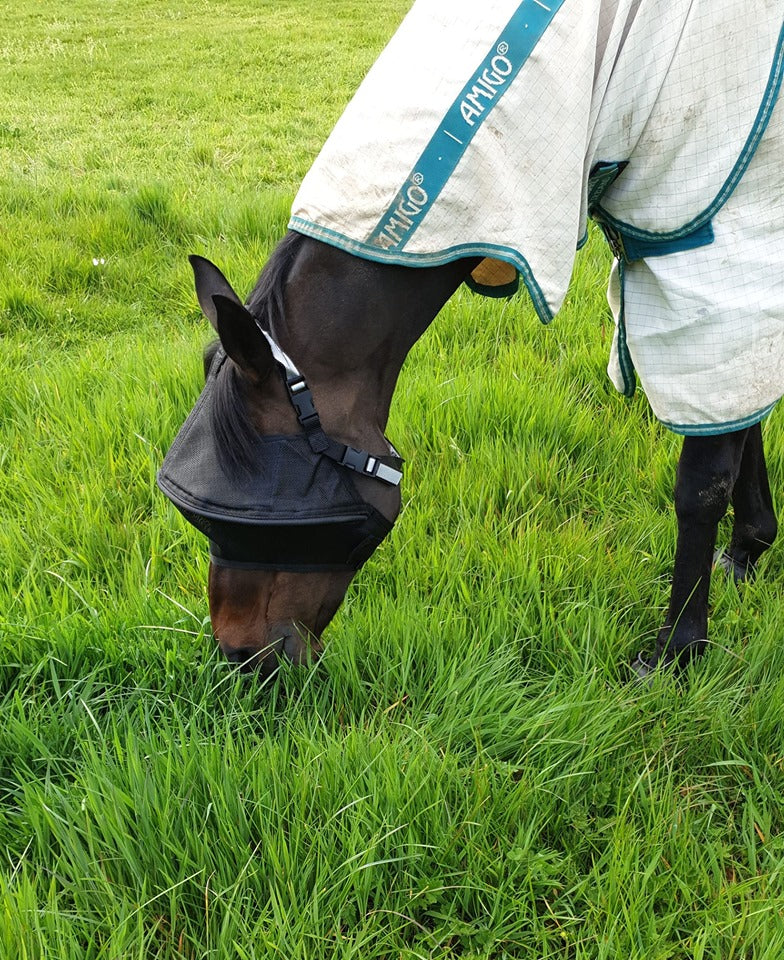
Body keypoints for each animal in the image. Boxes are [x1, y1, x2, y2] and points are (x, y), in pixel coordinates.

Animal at [158, 0, 784, 679]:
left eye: (251, 522)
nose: (242, 658)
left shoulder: (710, 246)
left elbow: (703, 480)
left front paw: (677, 652)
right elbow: (738, 419)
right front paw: (748, 550)